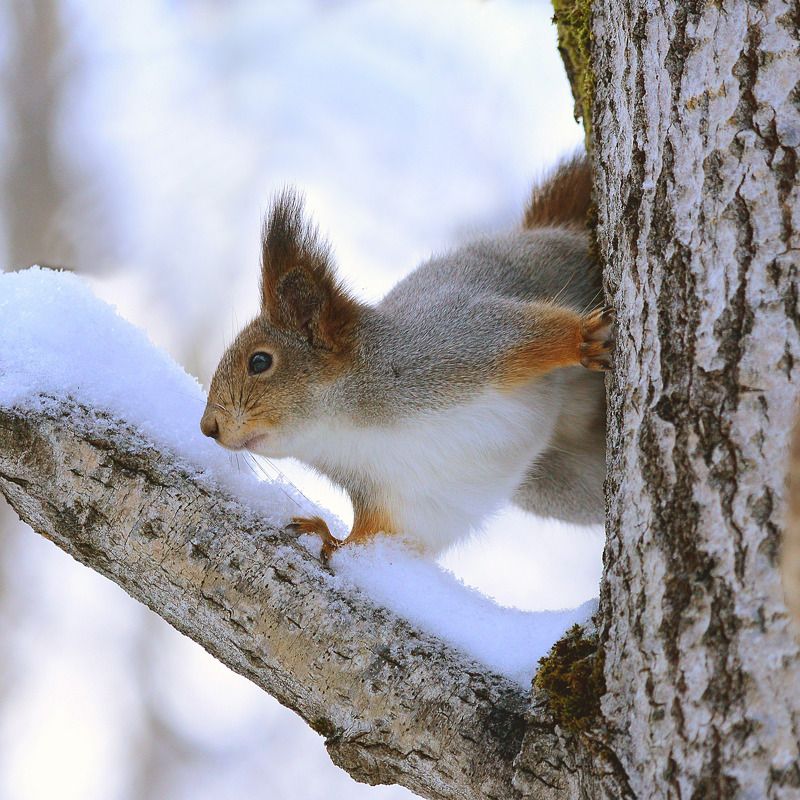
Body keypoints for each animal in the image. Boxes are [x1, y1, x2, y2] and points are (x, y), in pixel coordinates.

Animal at [202, 153, 612, 560]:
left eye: (259, 362)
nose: (209, 428)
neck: (349, 428)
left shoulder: (458, 346)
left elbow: (531, 334)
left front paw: (583, 340)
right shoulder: (401, 499)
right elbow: (379, 537)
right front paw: (327, 536)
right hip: (564, 486)